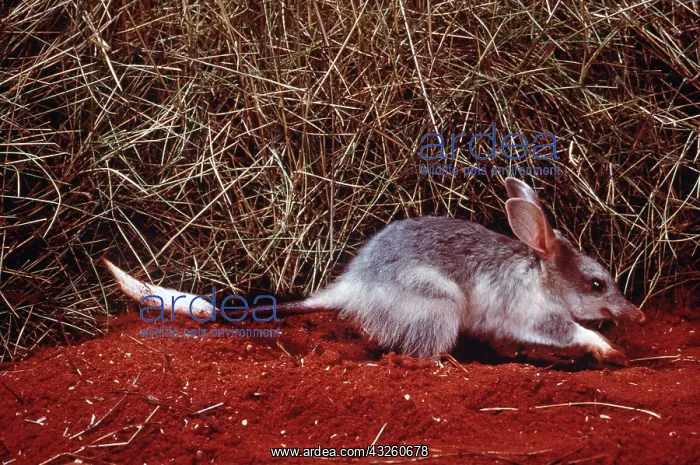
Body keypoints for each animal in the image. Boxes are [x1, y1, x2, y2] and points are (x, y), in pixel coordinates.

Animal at [104, 177, 645, 365]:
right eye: (597, 283)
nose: (638, 316)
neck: (542, 275)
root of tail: (348, 288)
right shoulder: (537, 316)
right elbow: (571, 331)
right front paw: (606, 348)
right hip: (440, 307)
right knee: (422, 352)